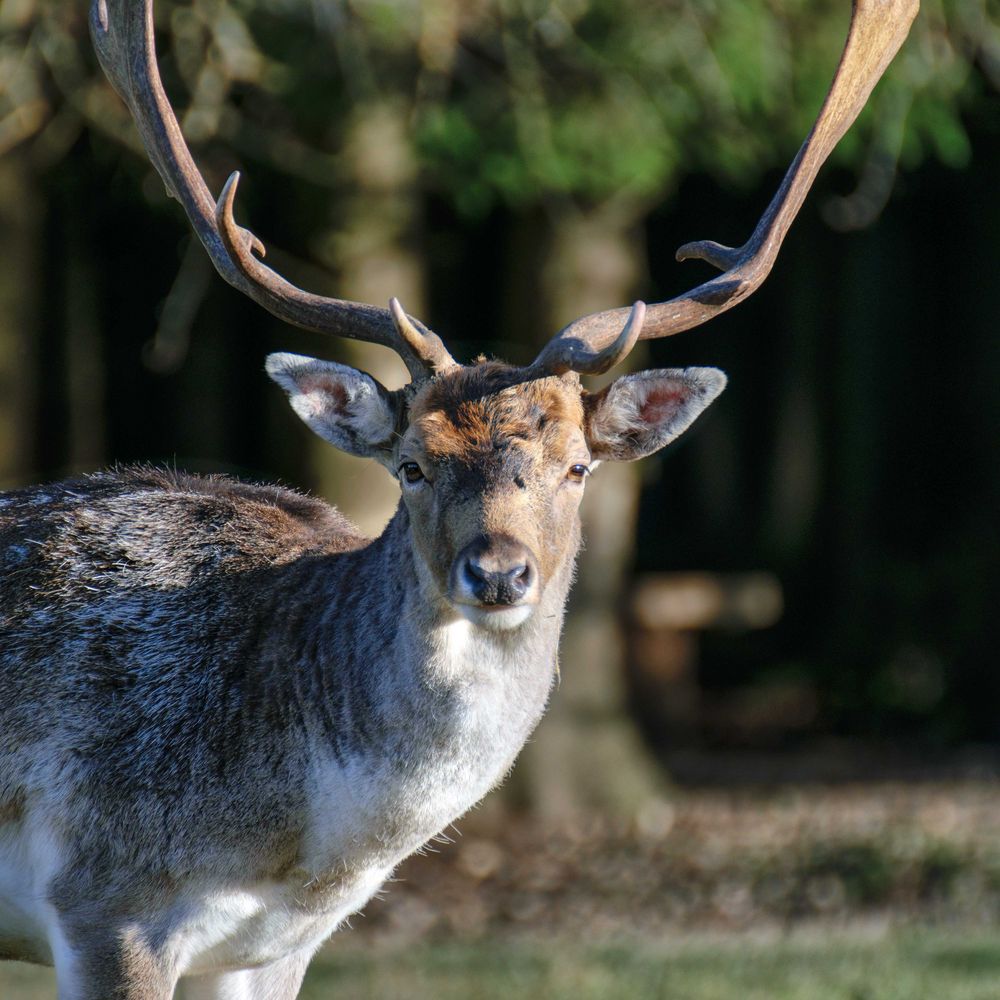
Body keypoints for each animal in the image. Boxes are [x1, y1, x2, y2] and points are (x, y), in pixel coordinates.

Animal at [0, 0, 916, 996]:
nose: (500, 573)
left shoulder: (273, 947)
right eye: (411, 465)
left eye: (577, 467)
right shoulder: (104, 894)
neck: (300, 844)